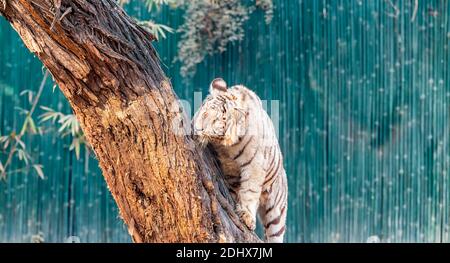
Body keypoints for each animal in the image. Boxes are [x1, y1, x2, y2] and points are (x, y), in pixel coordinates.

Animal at [192, 78, 286, 243]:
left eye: (216, 120)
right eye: (204, 111)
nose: (198, 128)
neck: (227, 146)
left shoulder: (255, 165)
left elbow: (249, 189)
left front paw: (246, 216)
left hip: (276, 214)